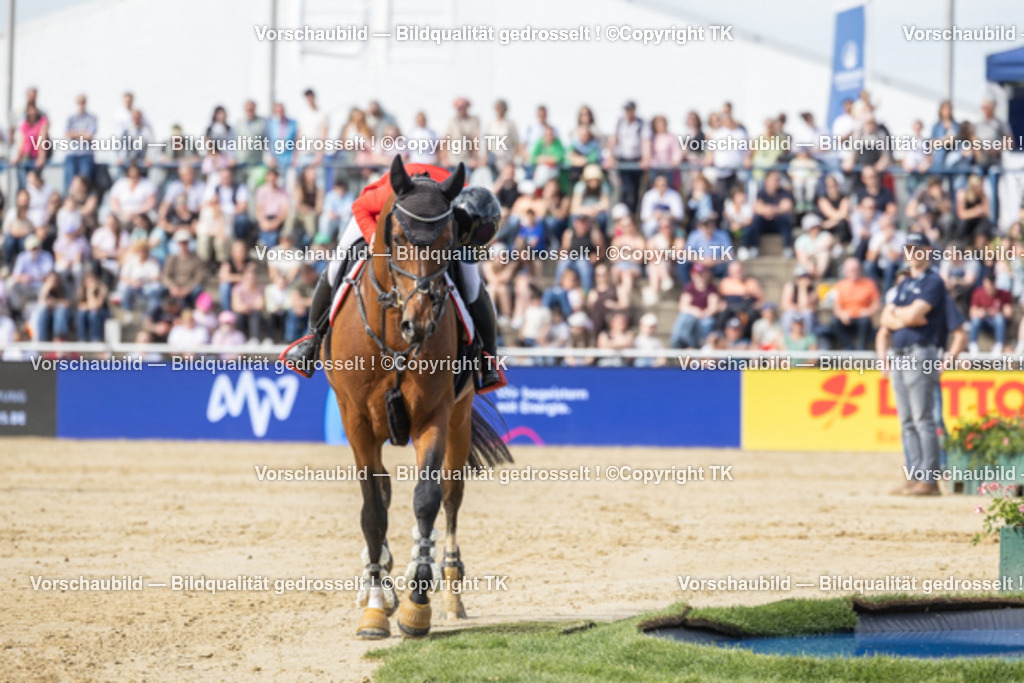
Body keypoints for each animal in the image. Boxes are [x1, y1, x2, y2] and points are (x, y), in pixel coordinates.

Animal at [323, 155, 512, 639]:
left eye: (448, 241)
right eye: (399, 237)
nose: (420, 322)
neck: (392, 332)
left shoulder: (434, 414)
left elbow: (426, 498)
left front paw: (417, 603)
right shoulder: (355, 420)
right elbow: (373, 507)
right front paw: (376, 605)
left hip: (459, 421)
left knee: (450, 494)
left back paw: (447, 587)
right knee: (385, 493)